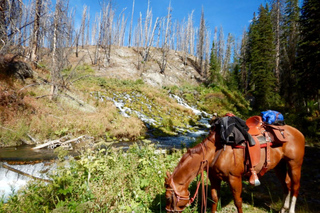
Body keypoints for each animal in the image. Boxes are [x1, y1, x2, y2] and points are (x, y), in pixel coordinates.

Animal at [165, 122, 304, 212]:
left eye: (167, 197)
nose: (167, 210)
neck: (216, 151)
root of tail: (298, 132)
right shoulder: (214, 178)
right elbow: (214, 199)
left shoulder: (234, 178)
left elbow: (238, 202)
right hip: (279, 166)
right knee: (287, 185)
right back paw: (283, 209)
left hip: (295, 164)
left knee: (295, 187)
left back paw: (291, 210)